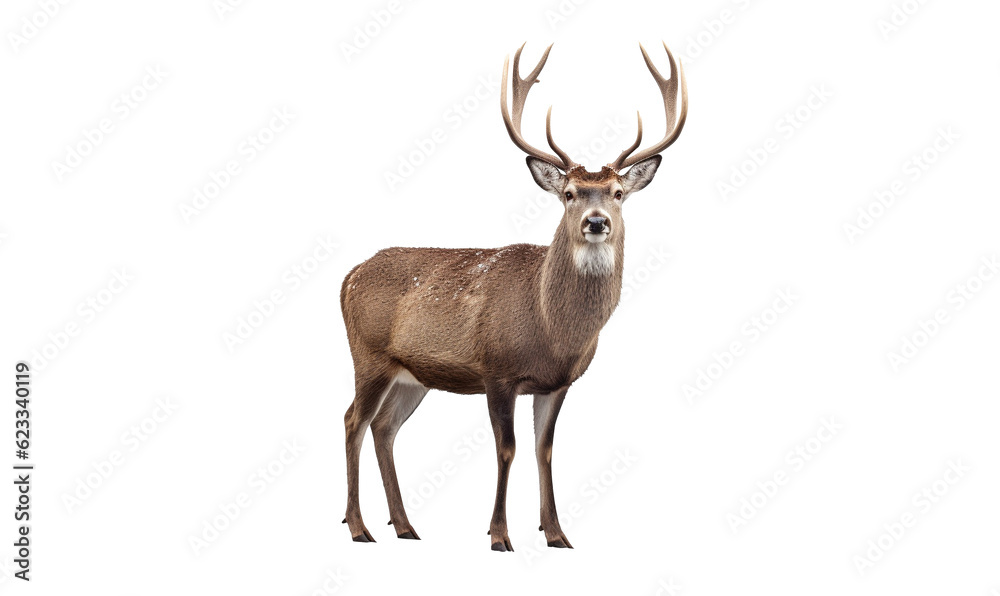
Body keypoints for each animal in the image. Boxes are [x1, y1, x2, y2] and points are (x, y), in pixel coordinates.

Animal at [340, 42, 687, 551]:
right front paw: (499, 535)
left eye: (619, 192)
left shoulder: (557, 383)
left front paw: (557, 533)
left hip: (412, 375)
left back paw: (405, 526)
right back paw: (359, 527)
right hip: (369, 355)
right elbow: (507, 449)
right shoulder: (497, 370)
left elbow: (545, 450)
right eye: (569, 193)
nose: (597, 221)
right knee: (353, 422)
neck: (551, 329)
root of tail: (348, 276)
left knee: (384, 428)